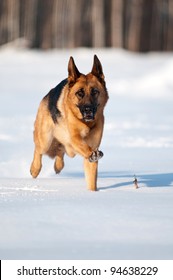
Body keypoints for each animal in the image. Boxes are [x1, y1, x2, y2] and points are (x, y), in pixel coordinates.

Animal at [30, 55, 108, 190]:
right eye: (80, 93)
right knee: (38, 150)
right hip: (45, 140)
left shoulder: (91, 152)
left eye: (95, 92)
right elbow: (85, 147)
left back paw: (58, 165)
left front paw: (93, 193)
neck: (86, 124)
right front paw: (92, 154)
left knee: (60, 151)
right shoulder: (74, 138)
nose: (88, 109)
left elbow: (92, 181)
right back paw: (34, 169)